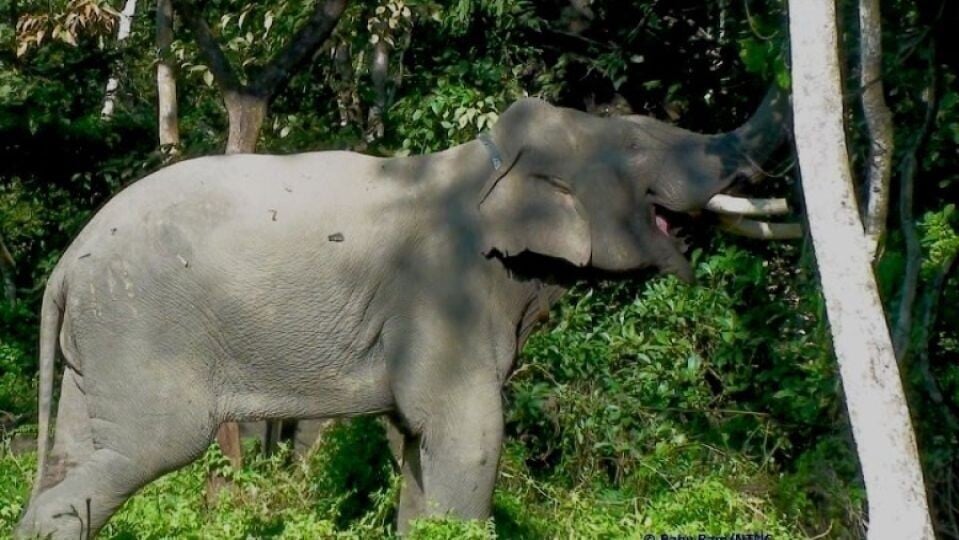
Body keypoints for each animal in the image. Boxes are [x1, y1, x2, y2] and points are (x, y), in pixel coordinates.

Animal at [16, 89, 787, 538]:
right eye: (636, 148)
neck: (488, 162)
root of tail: (66, 263)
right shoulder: (444, 291)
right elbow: (468, 434)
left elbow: (417, 443)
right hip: (140, 331)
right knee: (141, 450)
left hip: (99, 348)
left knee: (69, 461)